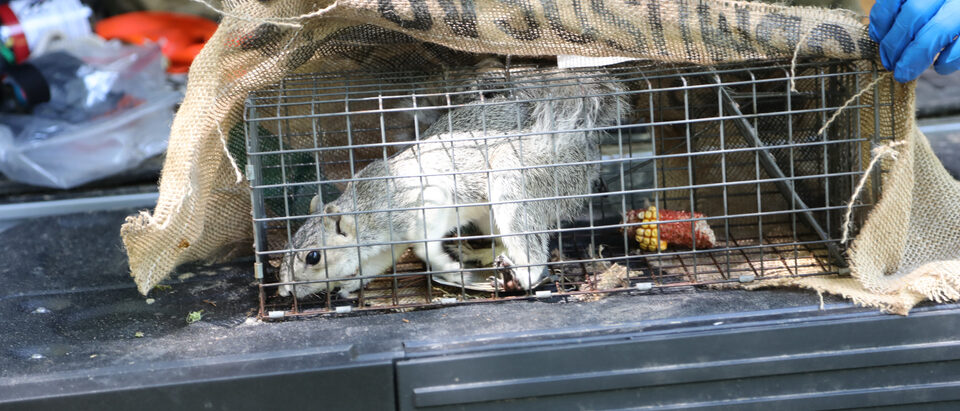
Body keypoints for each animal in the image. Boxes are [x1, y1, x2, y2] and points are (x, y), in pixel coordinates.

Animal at [279, 70, 629, 299]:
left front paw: (443, 263)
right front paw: (352, 283)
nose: (284, 291)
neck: (365, 209)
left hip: (515, 179)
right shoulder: (387, 245)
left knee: (529, 246)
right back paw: (481, 255)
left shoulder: (423, 202)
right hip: (491, 215)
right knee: (503, 242)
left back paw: (520, 274)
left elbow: (423, 244)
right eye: (288, 244)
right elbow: (378, 263)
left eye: (313, 257)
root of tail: (577, 146)